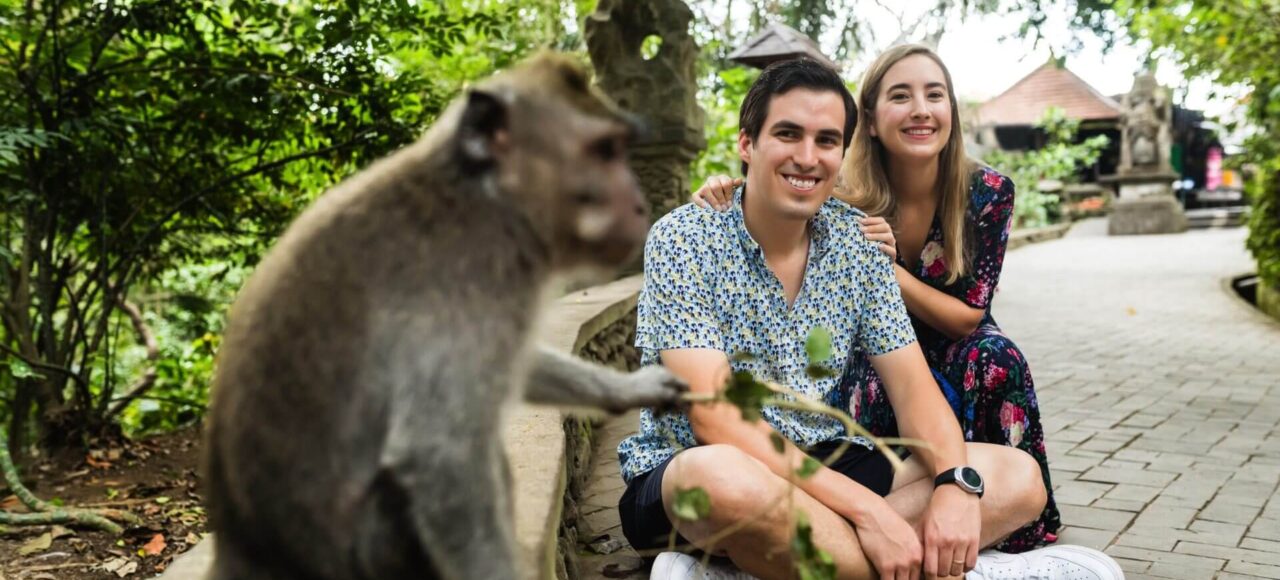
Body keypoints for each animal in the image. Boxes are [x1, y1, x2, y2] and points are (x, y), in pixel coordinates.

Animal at [201, 53, 686, 580]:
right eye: (604, 151)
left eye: (619, 148)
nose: (639, 204)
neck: (486, 199)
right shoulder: (461, 285)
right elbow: (441, 457)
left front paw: (632, 388)